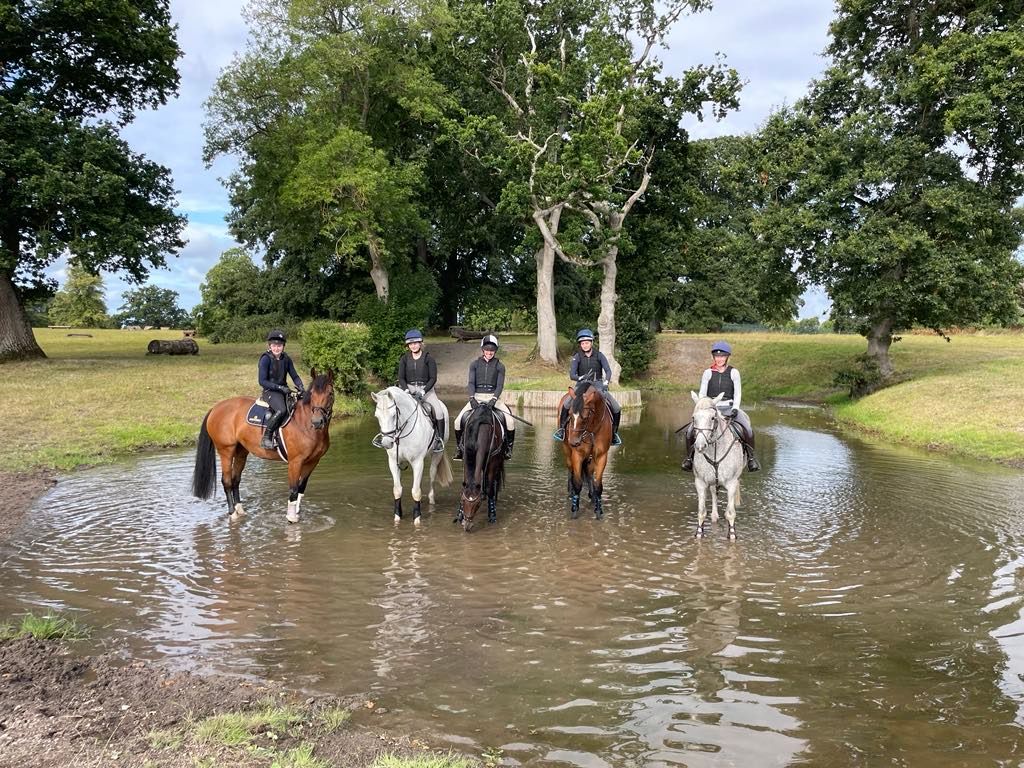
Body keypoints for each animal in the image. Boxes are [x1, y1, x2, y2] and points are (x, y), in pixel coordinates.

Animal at [192, 370, 335, 528]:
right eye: (312, 394)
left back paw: (240, 510)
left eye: (330, 393)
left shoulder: (312, 462)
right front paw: (291, 518)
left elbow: (301, 488)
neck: (304, 423)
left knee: (236, 480)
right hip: (226, 451)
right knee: (227, 481)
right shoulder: (295, 462)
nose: (317, 422)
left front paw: (297, 513)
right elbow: (293, 489)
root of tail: (216, 408)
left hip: (241, 452)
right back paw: (233, 514)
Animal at [368, 387, 448, 528]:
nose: (387, 443)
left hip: (436, 455)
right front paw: (397, 516)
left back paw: (431, 500)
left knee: (432, 475)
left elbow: (415, 491)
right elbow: (397, 489)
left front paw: (417, 519)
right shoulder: (393, 462)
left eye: (394, 415)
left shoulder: (417, 462)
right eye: (377, 416)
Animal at [458, 399, 505, 532]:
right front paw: (460, 515)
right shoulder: (466, 457)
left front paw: (492, 515)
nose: (467, 525)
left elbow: (490, 488)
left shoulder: (493, 462)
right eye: (463, 500)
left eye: (477, 504)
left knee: (494, 482)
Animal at [565, 382, 610, 520]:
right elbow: (578, 483)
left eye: (584, 417)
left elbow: (598, 485)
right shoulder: (577, 454)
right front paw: (574, 509)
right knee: (571, 470)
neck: (592, 428)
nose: (573, 442)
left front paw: (598, 510)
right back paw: (571, 492)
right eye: (569, 414)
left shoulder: (601, 456)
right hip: (567, 452)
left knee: (589, 473)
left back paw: (592, 496)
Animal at [688, 391, 745, 540]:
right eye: (694, 418)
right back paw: (714, 516)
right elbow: (701, 511)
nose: (700, 446)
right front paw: (699, 533)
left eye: (712, 418)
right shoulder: (700, 482)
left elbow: (730, 513)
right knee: (714, 492)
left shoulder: (732, 483)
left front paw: (732, 534)